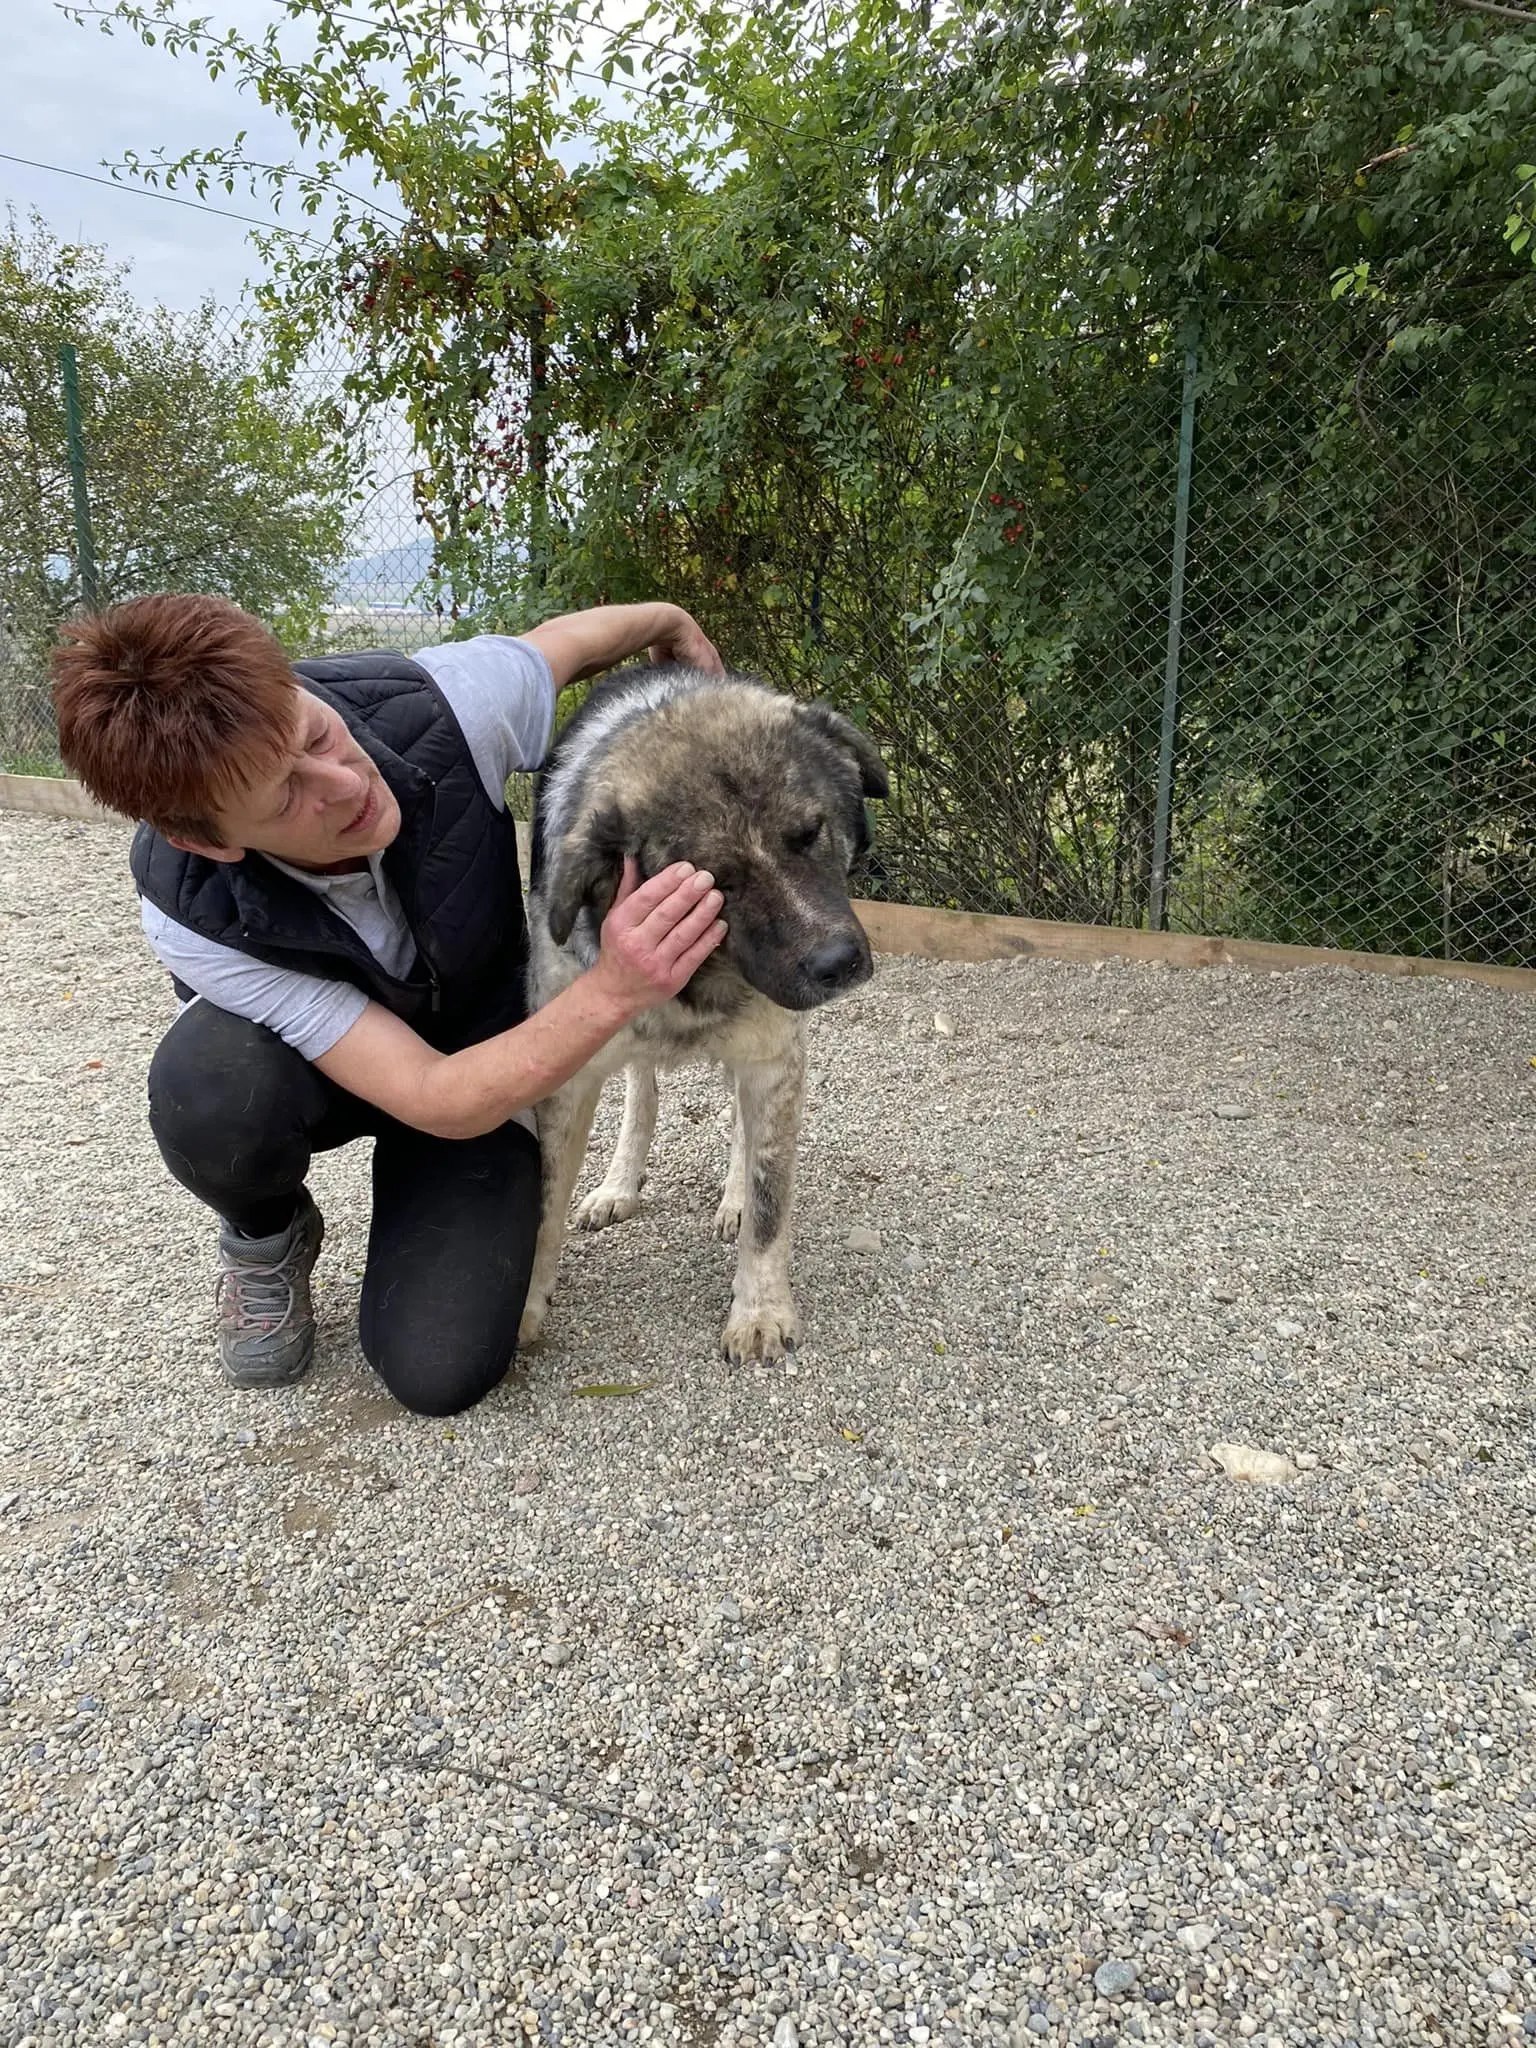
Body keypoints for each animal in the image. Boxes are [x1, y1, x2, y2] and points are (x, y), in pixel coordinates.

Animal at [528, 655, 897, 1359]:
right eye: (717, 882)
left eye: (808, 834)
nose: (838, 964)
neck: (696, 985)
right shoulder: (568, 1073)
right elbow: (542, 1199)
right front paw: (523, 1307)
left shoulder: (773, 1057)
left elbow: (771, 1199)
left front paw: (759, 1310)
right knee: (642, 1090)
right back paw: (619, 1182)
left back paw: (732, 1196)